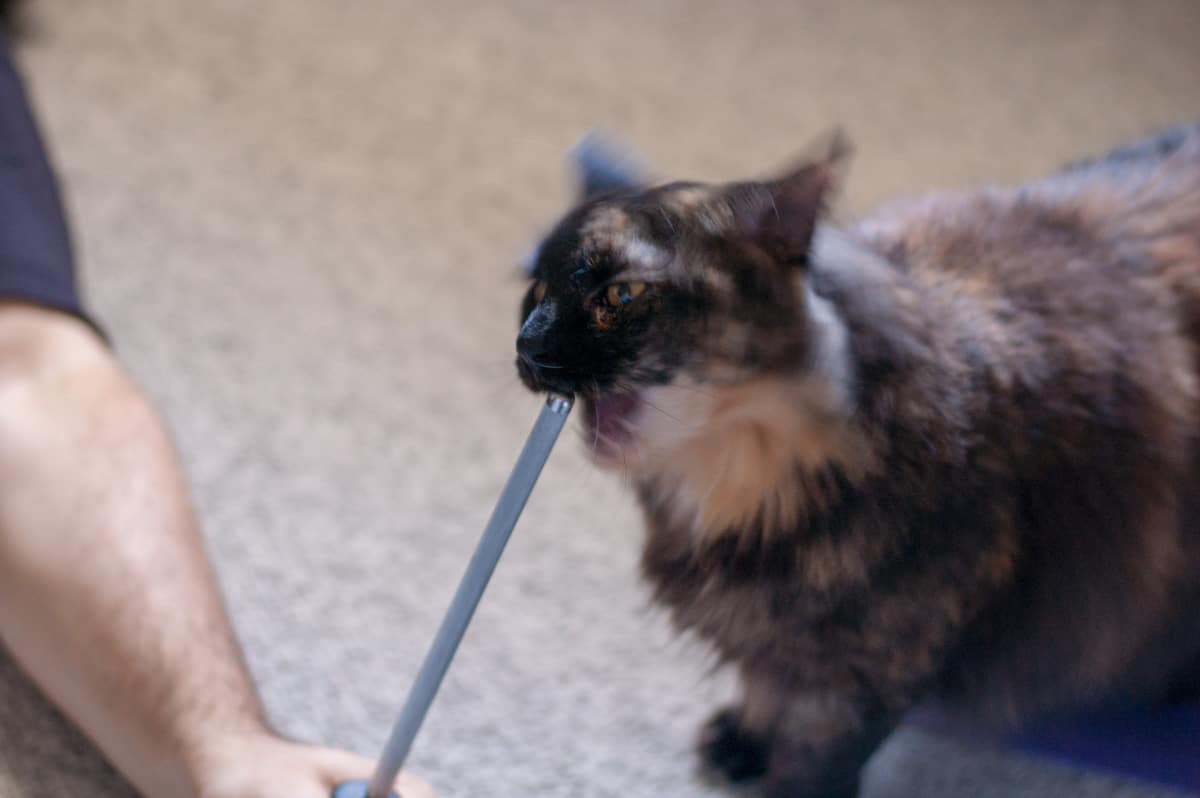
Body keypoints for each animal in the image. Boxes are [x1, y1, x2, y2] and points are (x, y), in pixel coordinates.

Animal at [513, 124, 1200, 796]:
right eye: (536, 291)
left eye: (621, 295)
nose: (527, 348)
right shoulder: (786, 649)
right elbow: (763, 686)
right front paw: (744, 742)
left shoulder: (862, 680)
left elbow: (814, 768)